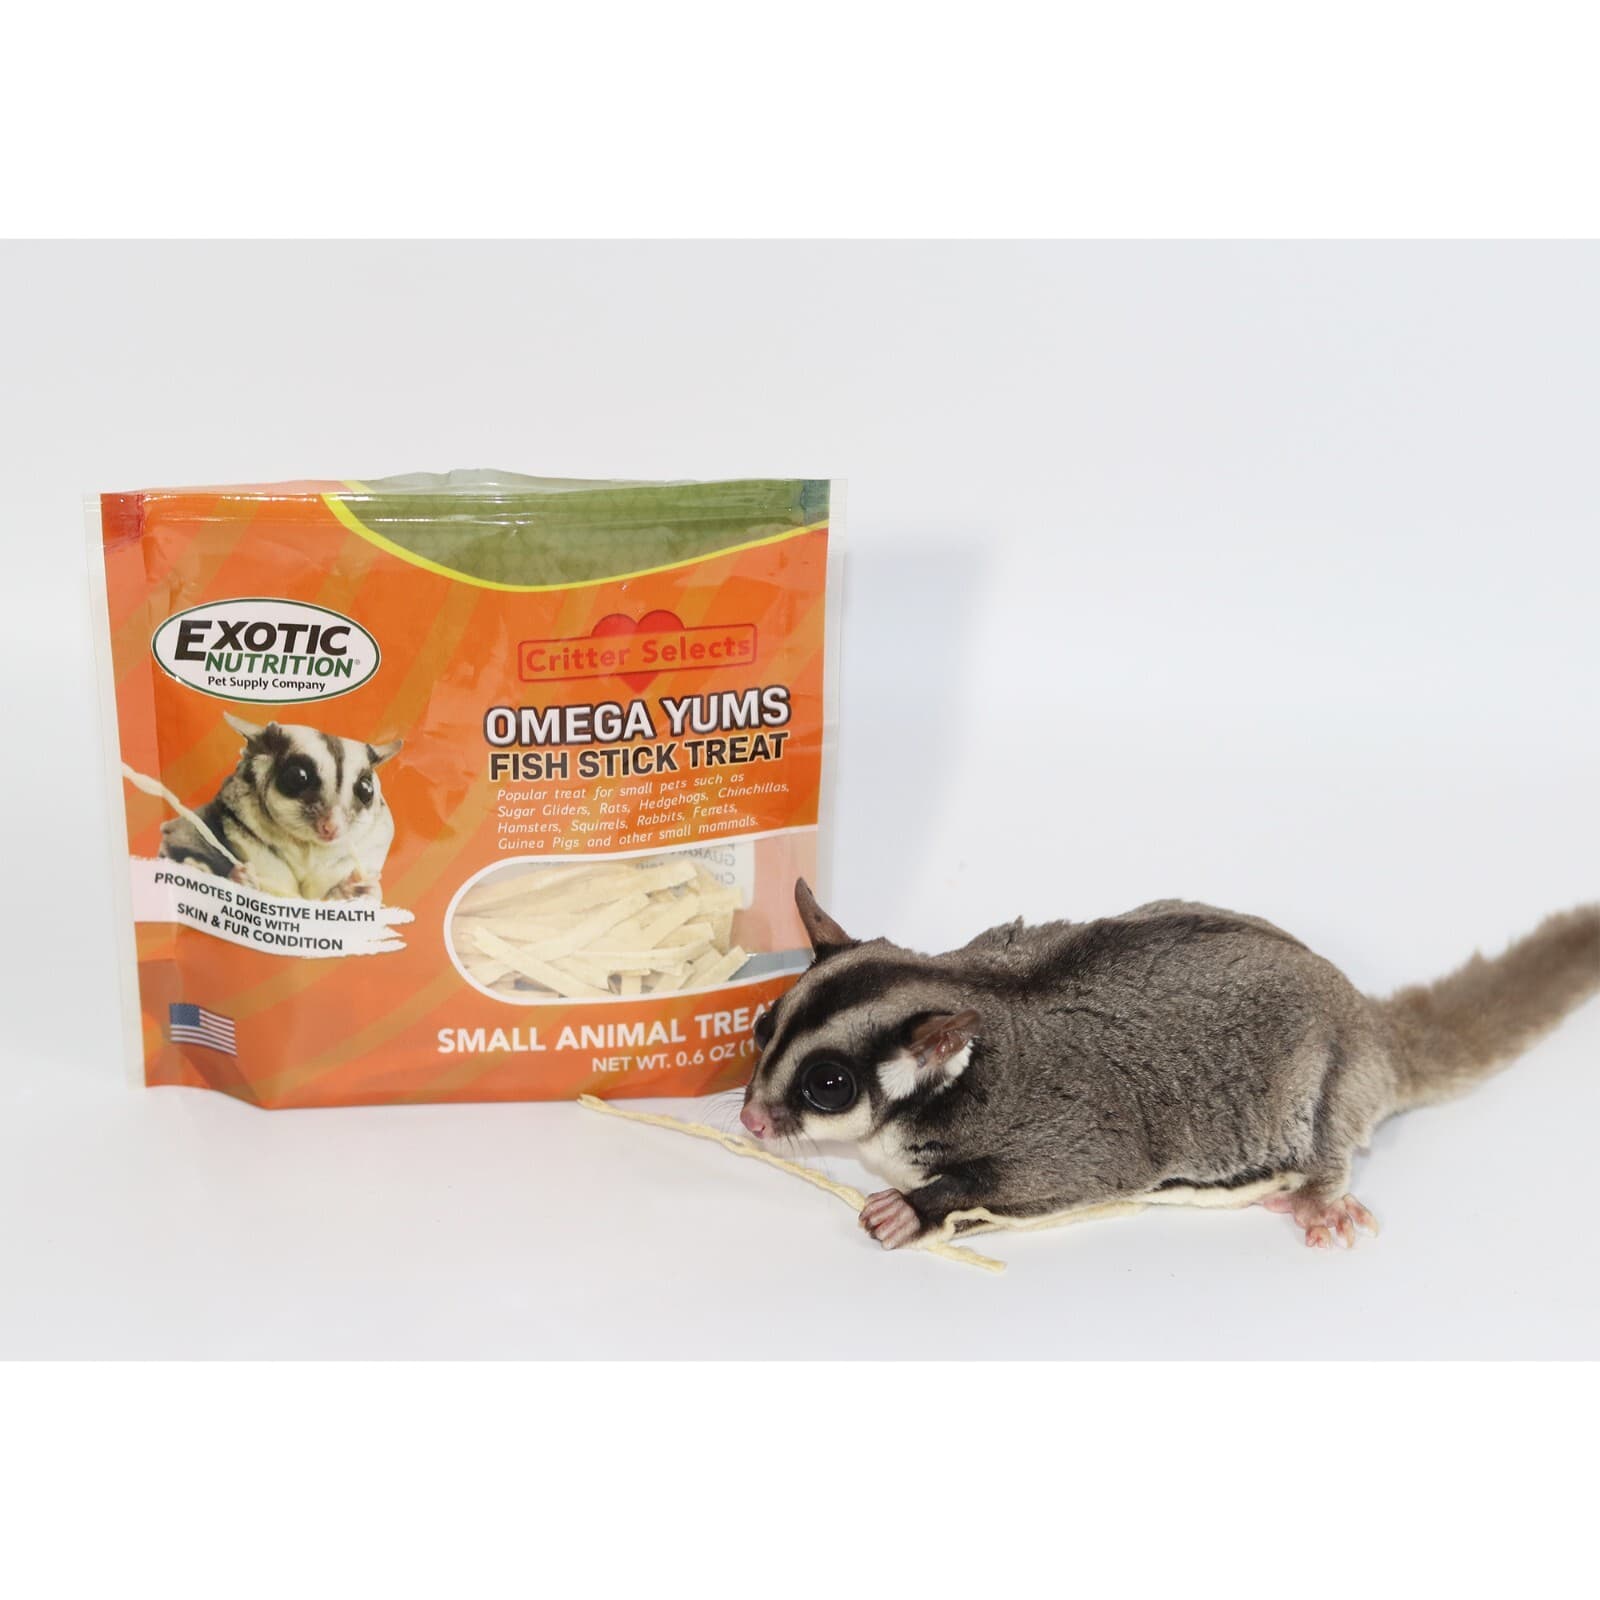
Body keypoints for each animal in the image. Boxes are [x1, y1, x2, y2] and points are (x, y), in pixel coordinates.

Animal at [158, 713, 402, 902]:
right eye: (298, 777)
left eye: (365, 789)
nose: (332, 827)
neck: (306, 848)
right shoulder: (191, 832)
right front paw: (240, 878)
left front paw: (356, 889)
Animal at [740, 882, 1600, 1251]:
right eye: (759, 1027)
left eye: (828, 1085)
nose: (748, 1117)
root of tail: (1365, 1018)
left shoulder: (1059, 1133)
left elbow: (1064, 1175)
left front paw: (909, 1210)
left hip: (1334, 1074)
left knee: (1329, 1137)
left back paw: (1320, 1190)